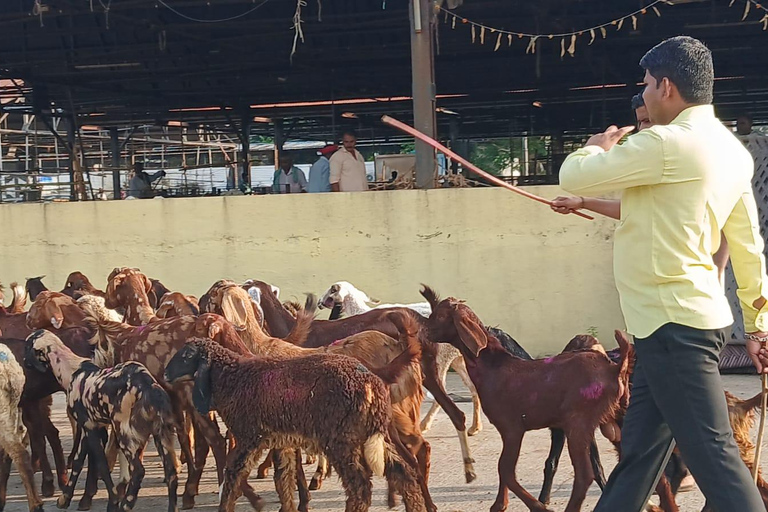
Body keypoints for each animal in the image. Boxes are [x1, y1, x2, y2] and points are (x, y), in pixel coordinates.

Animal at [24, 330, 177, 510]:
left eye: (27, 345)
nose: (24, 362)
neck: (73, 370)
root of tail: (149, 387)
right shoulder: (89, 428)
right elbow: (78, 462)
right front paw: (64, 499)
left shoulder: (91, 428)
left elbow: (102, 466)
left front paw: (113, 502)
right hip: (162, 434)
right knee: (171, 473)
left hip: (125, 434)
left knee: (138, 470)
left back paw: (126, 504)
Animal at [318, 280, 480, 436]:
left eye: (332, 290)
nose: (319, 302)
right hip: (457, 360)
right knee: (472, 386)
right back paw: (475, 427)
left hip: (441, 359)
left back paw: (424, 424)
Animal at [420, 286, 632, 512]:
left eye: (440, 316)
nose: (421, 331)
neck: (493, 365)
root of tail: (614, 369)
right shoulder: (507, 430)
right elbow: (503, 467)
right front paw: (500, 504)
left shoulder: (512, 427)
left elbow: (505, 468)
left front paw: (537, 506)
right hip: (617, 418)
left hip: (578, 424)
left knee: (585, 475)